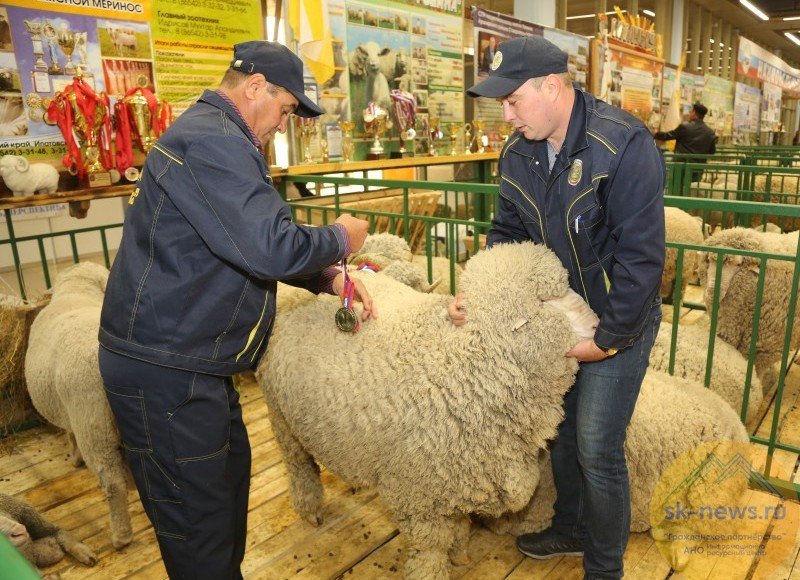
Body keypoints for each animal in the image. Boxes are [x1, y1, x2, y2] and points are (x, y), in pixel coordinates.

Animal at [24, 262, 133, 548]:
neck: (77, 291)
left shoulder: (68, 413)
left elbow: (68, 432)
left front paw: (74, 458)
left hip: (94, 426)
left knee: (113, 482)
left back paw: (122, 536)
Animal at [256, 242, 592, 576]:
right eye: (545, 300)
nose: (598, 325)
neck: (466, 360)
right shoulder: (418, 493)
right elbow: (430, 550)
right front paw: (434, 567)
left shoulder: (458, 479)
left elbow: (458, 524)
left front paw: (459, 553)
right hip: (280, 416)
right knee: (299, 465)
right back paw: (310, 508)